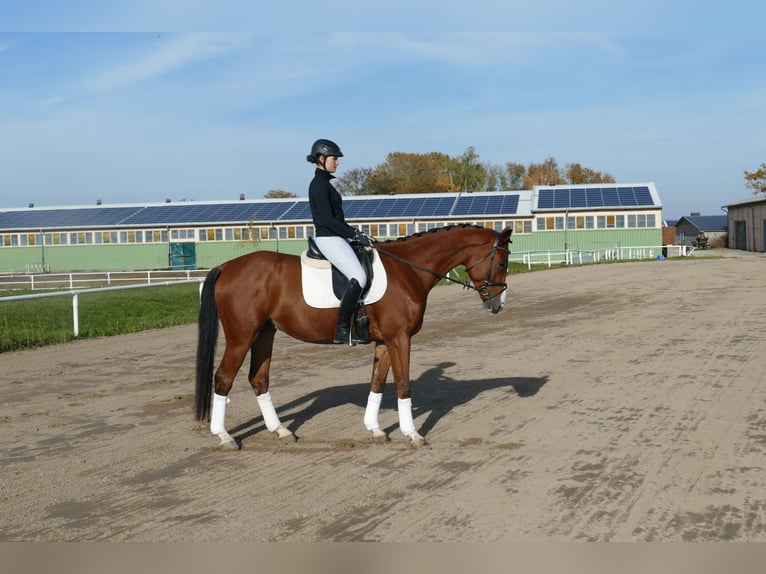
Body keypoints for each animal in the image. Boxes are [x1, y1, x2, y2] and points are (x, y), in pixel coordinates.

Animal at [195, 224, 512, 450]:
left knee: (258, 379)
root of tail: (226, 267)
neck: (408, 269)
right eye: (501, 263)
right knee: (223, 378)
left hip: (264, 334)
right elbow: (403, 385)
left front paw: (376, 430)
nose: (497, 305)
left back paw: (282, 431)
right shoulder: (400, 338)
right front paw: (413, 434)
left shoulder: (385, 341)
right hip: (241, 337)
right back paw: (225, 437)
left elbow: (377, 383)